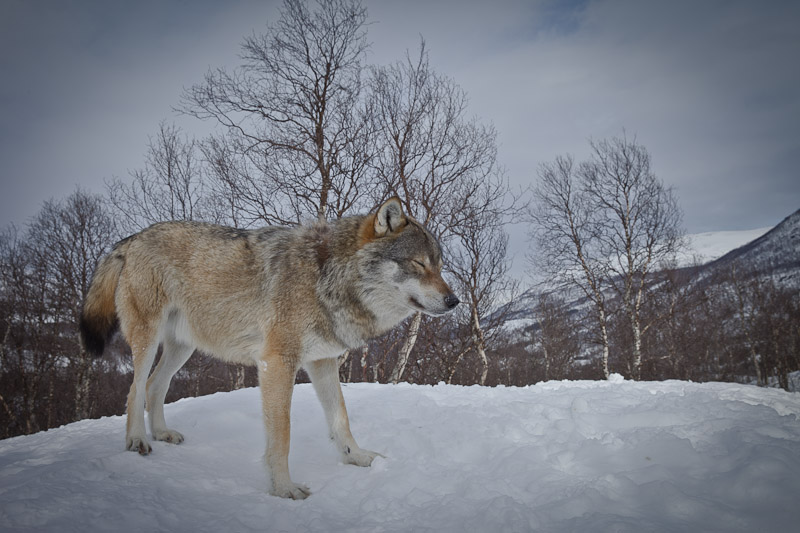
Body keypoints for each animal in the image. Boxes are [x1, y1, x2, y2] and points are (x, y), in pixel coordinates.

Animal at [79, 197, 459, 499]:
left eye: (440, 266)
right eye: (419, 264)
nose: (454, 301)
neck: (326, 276)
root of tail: (132, 237)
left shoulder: (323, 362)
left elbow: (341, 419)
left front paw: (357, 457)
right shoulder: (277, 363)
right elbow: (282, 436)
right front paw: (283, 489)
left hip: (182, 348)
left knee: (153, 385)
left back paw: (161, 434)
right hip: (149, 338)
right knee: (135, 389)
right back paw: (137, 441)